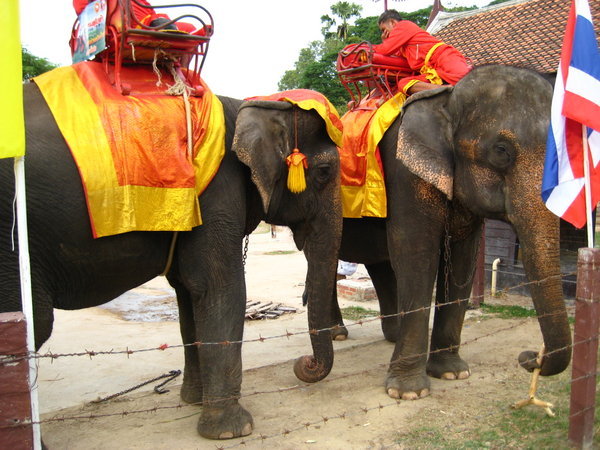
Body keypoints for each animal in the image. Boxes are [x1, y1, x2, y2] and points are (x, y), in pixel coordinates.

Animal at [0, 83, 340, 440]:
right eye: (324, 173)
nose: (303, 364)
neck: (248, 105)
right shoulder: (216, 192)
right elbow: (221, 288)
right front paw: (232, 431)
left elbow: (188, 293)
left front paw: (193, 401)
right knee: (32, 325)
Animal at [314, 64, 572, 400]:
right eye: (501, 151)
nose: (528, 358)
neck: (447, 99)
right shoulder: (406, 174)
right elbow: (417, 253)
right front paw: (408, 393)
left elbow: (463, 260)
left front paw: (452, 373)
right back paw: (337, 334)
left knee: (378, 262)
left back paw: (390, 335)